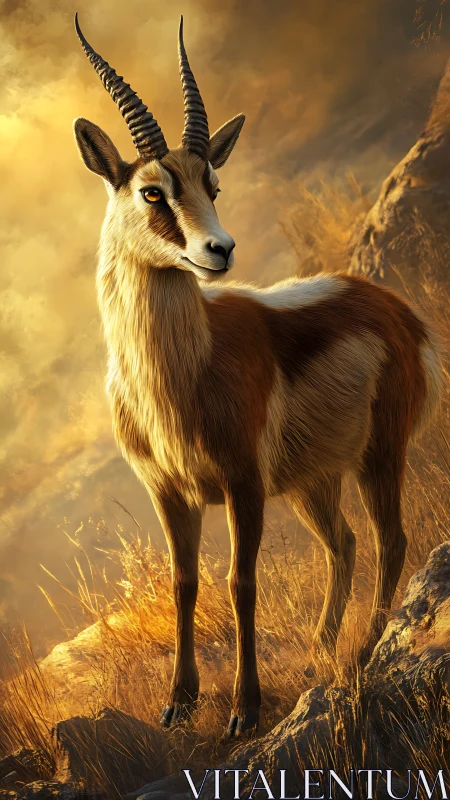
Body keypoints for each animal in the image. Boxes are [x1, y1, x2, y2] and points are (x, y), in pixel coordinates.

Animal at [73, 15, 443, 738]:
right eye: (153, 190)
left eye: (212, 186)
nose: (219, 250)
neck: (179, 375)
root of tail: (394, 308)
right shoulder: (170, 491)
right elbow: (185, 583)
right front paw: (179, 702)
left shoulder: (243, 481)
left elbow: (241, 583)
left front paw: (245, 711)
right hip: (311, 482)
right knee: (344, 543)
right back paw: (321, 650)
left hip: (377, 456)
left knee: (391, 540)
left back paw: (362, 650)